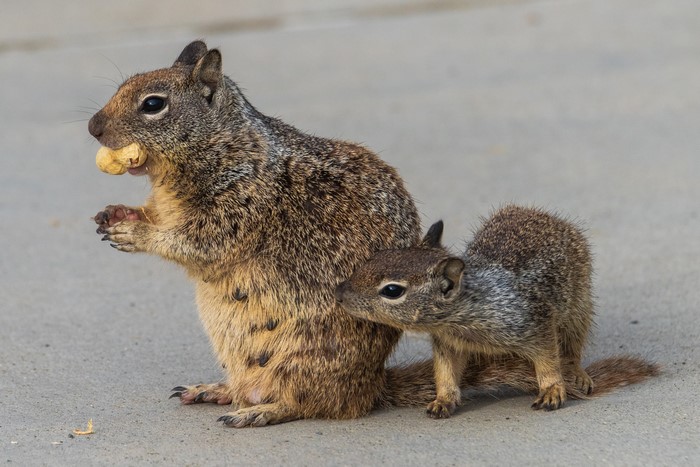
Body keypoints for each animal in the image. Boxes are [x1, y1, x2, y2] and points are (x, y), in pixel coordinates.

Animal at [336, 205, 659, 418]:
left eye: (392, 290)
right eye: (376, 257)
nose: (339, 292)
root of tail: (549, 217)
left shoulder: (535, 324)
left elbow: (548, 361)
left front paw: (552, 390)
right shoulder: (448, 344)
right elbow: (446, 372)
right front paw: (443, 400)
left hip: (578, 308)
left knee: (572, 347)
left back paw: (578, 374)